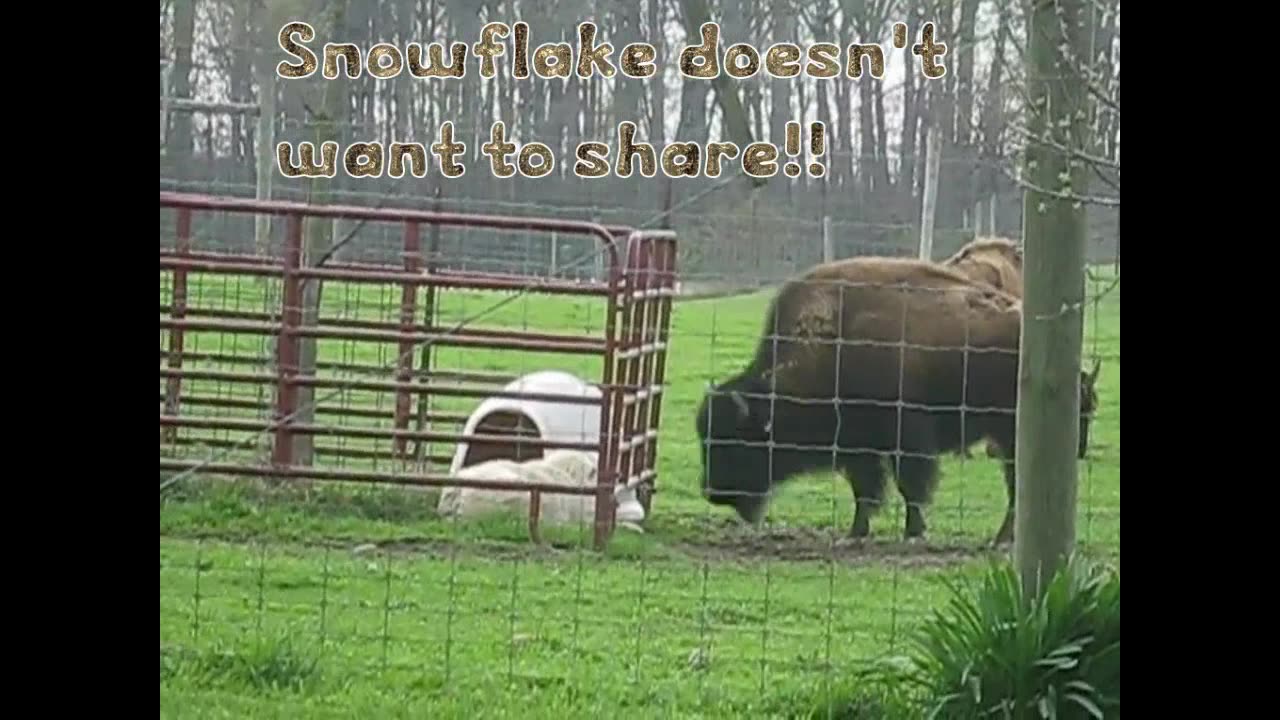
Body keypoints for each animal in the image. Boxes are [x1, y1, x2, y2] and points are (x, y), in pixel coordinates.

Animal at [695, 256, 1100, 546]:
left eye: (735, 441)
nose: (713, 492)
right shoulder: (860, 448)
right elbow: (866, 492)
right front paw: (855, 532)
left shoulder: (905, 438)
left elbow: (909, 486)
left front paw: (912, 531)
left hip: (1012, 435)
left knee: (1018, 488)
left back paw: (1001, 540)